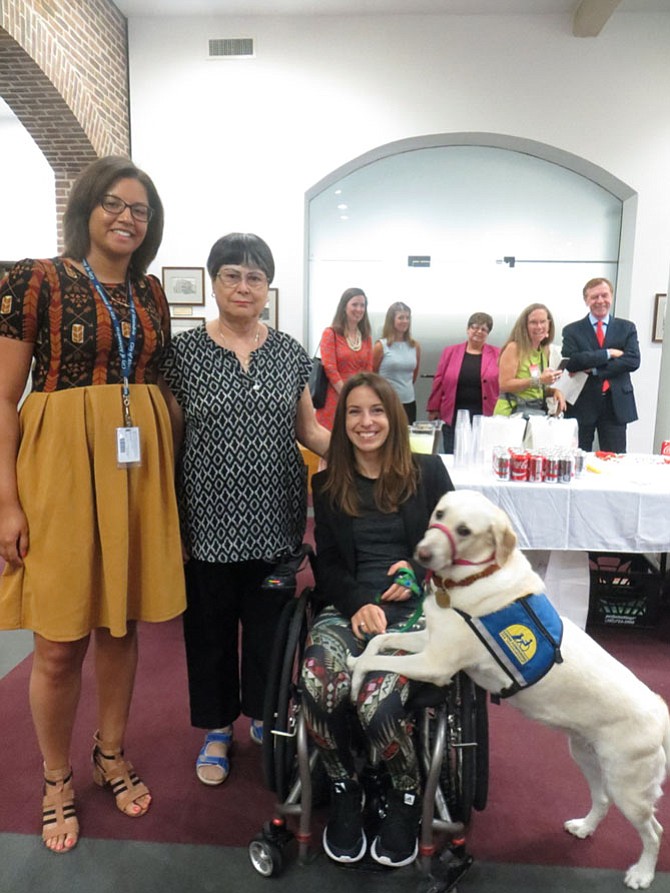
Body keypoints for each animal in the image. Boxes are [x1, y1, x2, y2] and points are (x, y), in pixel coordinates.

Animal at [352, 492, 670, 888]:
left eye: (464, 530)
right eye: (439, 514)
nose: (421, 554)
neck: (476, 576)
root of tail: (659, 710)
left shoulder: (436, 665)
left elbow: (374, 661)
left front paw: (354, 675)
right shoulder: (429, 642)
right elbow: (379, 640)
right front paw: (356, 659)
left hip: (630, 786)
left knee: (654, 831)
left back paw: (642, 873)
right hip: (588, 757)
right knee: (602, 800)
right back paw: (584, 827)